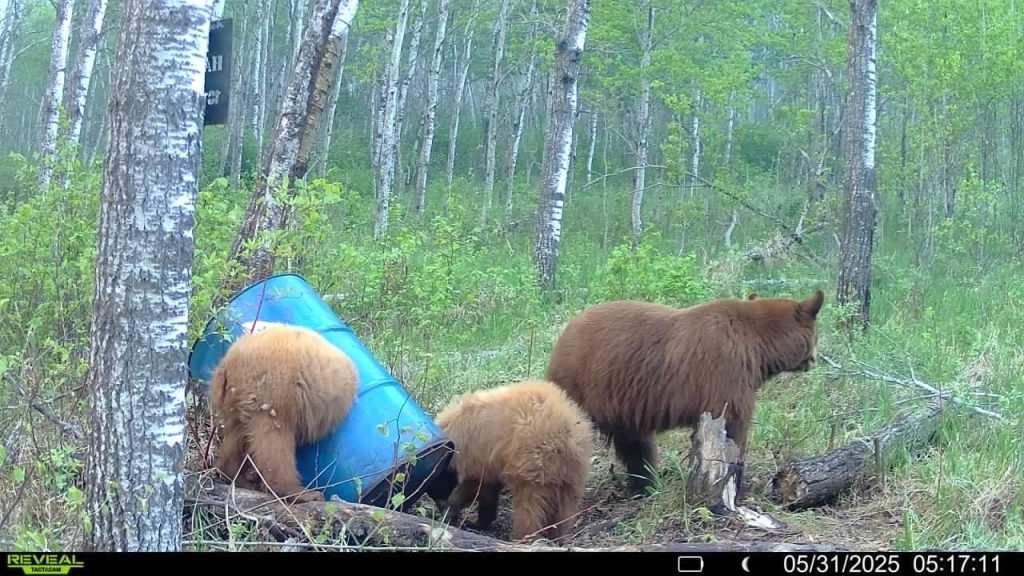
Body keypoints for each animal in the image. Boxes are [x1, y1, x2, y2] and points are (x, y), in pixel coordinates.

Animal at [209, 323, 358, 503]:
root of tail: (227, 366)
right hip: (275, 392)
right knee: (275, 443)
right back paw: (301, 492)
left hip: (236, 404)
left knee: (237, 437)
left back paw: (237, 477)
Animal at [426, 379, 595, 542]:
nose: (439, 509)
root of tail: (565, 436)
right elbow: (489, 489)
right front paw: (478, 520)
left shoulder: (475, 453)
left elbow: (474, 485)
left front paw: (452, 513)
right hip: (573, 474)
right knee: (564, 509)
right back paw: (556, 538)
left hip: (534, 464)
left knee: (529, 507)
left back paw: (522, 537)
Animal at [544, 289, 824, 497]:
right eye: (816, 336)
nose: (814, 360)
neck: (755, 343)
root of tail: (561, 339)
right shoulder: (726, 371)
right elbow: (732, 426)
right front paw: (738, 485)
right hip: (580, 386)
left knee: (635, 445)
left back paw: (645, 485)